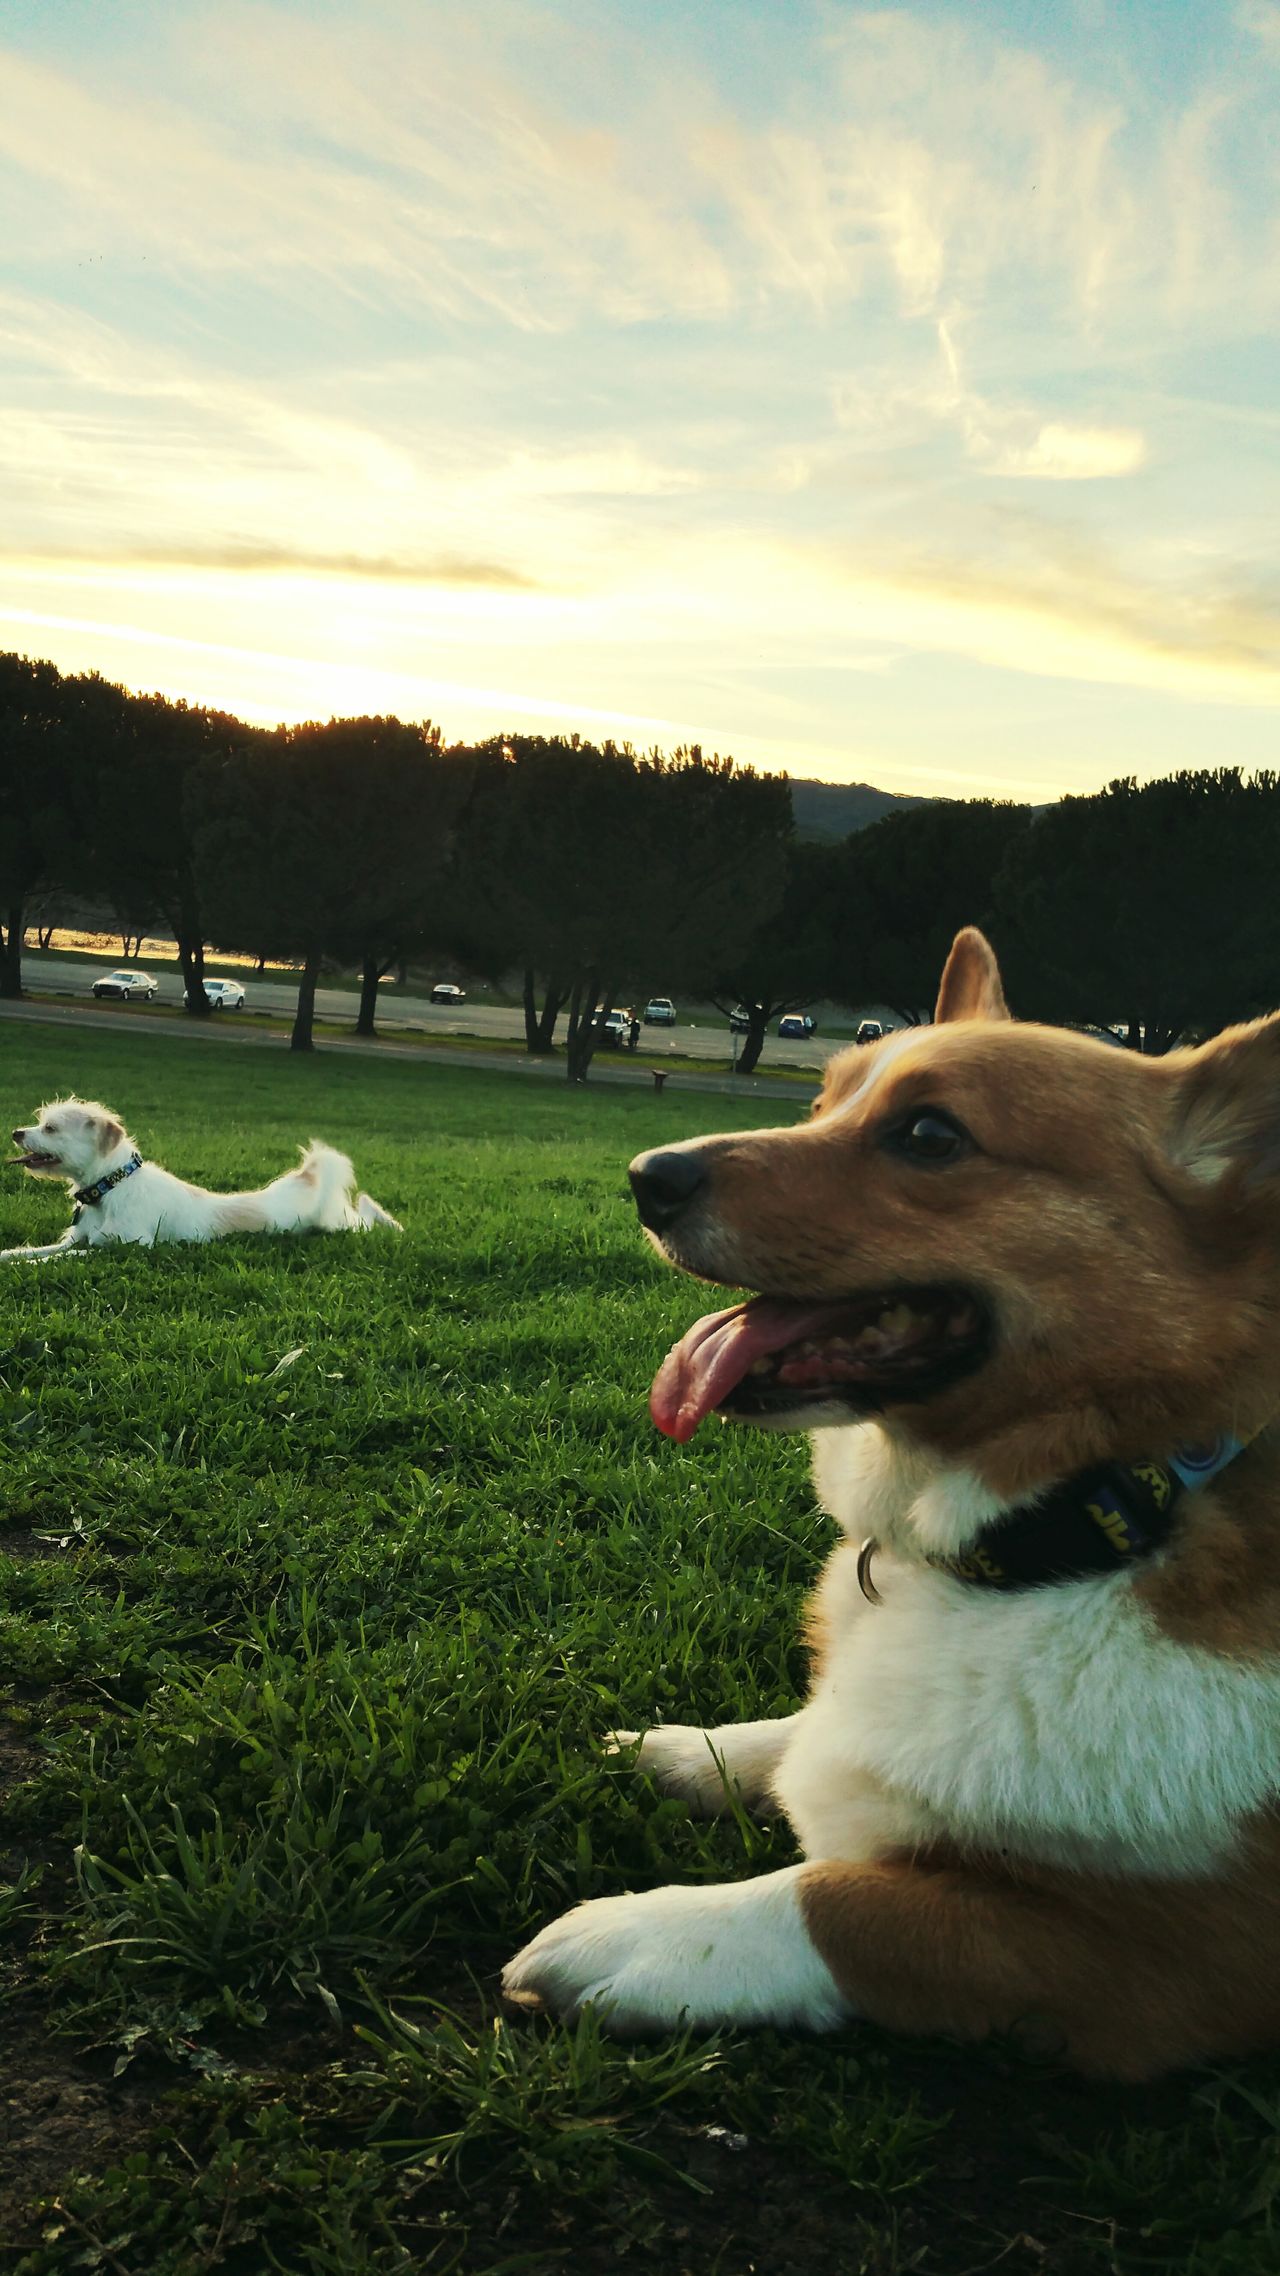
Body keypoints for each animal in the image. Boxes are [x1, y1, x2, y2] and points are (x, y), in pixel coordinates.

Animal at [3, 1092, 398, 1256]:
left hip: (338, 1224)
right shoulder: (76, 1240)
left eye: (51, 1128)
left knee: (364, 1215)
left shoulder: (123, 1248)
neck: (111, 1187)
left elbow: (59, 1259)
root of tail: (304, 1180)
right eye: (41, 1122)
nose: (17, 1133)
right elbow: (32, 1252)